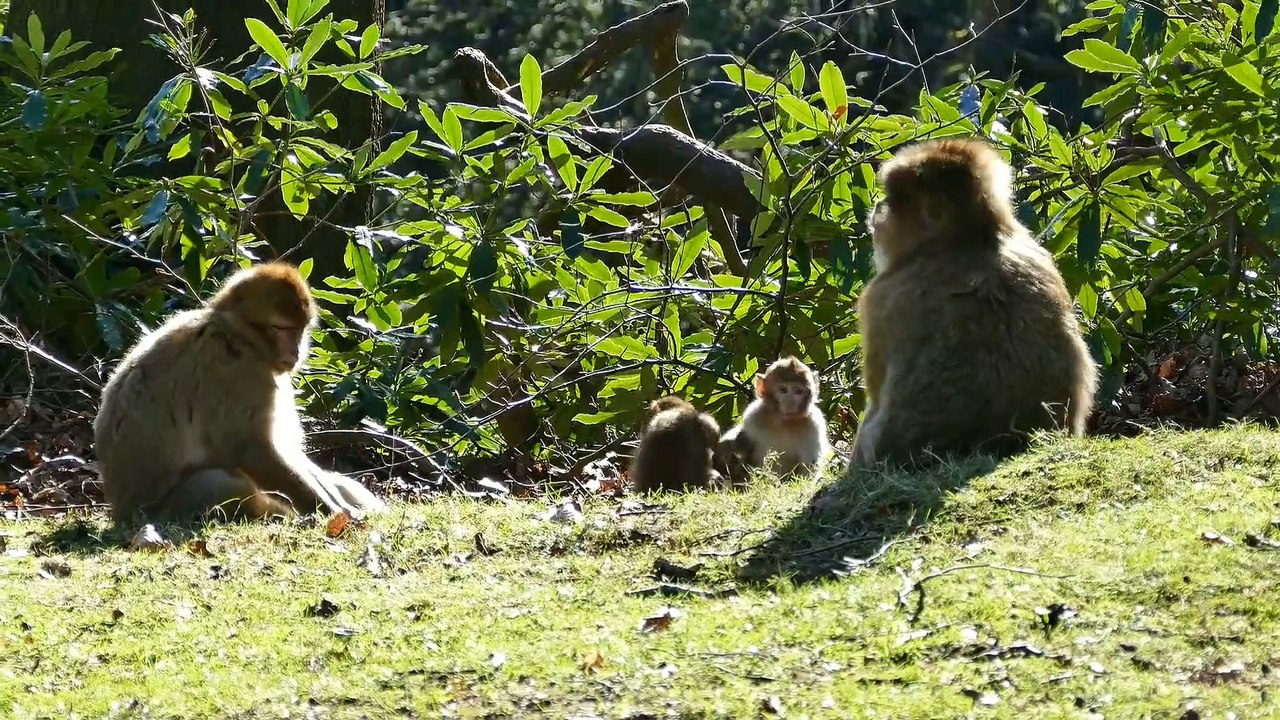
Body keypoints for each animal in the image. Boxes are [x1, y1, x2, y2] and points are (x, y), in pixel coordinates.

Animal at [93, 261, 387, 523]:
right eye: (282, 329)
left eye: (301, 330)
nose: (295, 351)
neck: (238, 334)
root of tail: (119, 511)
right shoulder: (238, 372)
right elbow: (248, 448)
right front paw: (334, 513)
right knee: (226, 485)